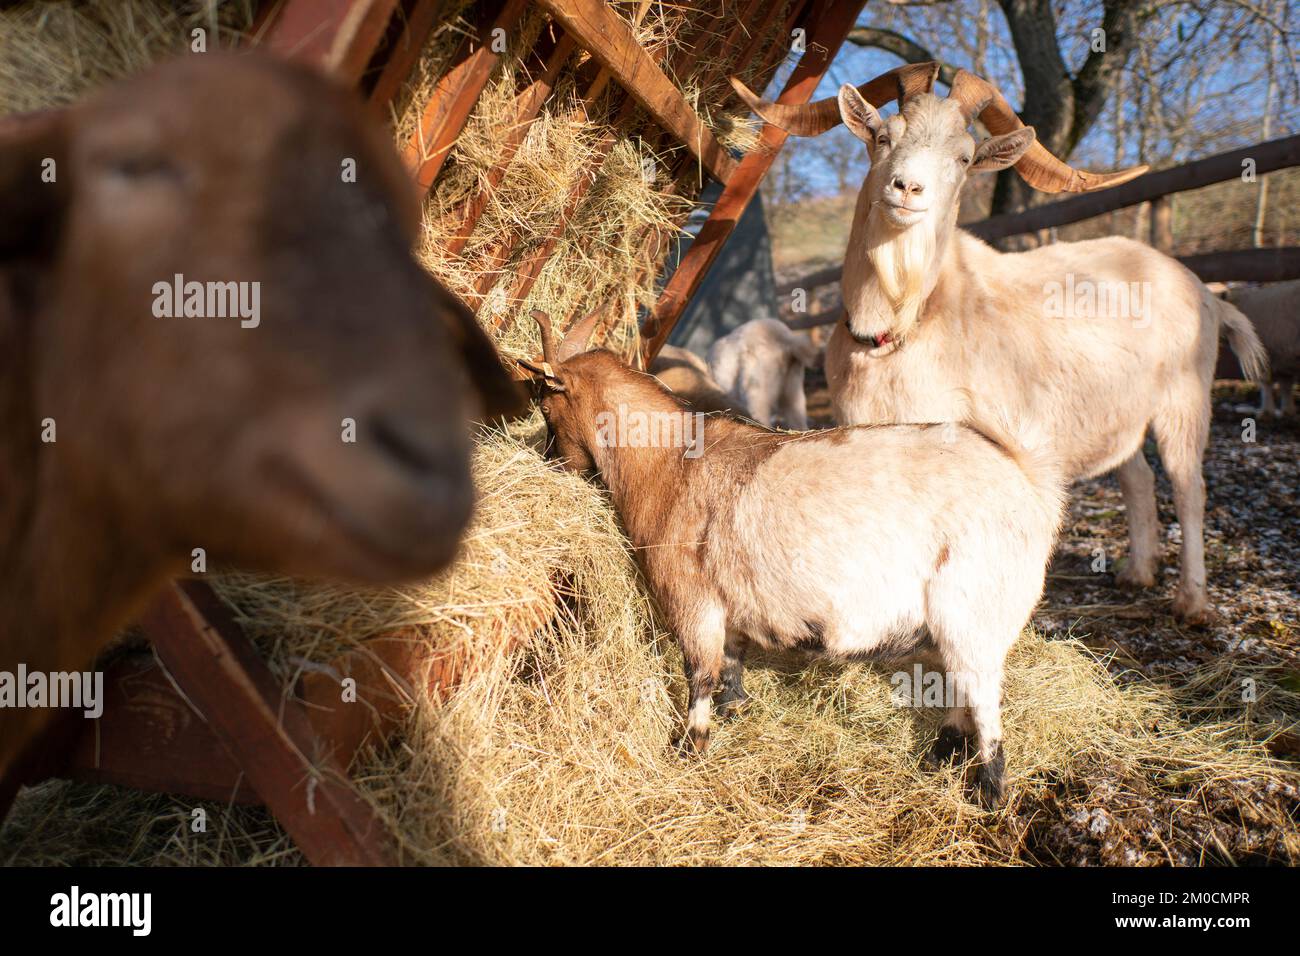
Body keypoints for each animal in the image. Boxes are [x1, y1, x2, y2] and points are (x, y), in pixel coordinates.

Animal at [523, 310, 1065, 806]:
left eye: (547, 407)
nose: (552, 462)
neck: (670, 464)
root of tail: (1025, 477)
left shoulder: (692, 600)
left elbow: (699, 673)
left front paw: (689, 747)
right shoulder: (730, 603)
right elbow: (731, 660)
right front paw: (734, 710)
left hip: (971, 607)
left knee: (982, 693)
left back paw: (989, 790)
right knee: (958, 685)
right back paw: (938, 756)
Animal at [732, 63, 1268, 625]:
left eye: (965, 157)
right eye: (884, 137)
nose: (908, 188)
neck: (904, 323)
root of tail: (1204, 292)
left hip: (1184, 400)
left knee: (1189, 488)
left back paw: (1192, 601)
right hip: (1118, 412)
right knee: (1137, 479)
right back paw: (1137, 572)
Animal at [1223, 280, 1299, 417]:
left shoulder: (1265, 354)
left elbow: (1266, 383)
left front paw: (1266, 411)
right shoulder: (1284, 357)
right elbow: (1286, 385)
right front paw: (1288, 410)